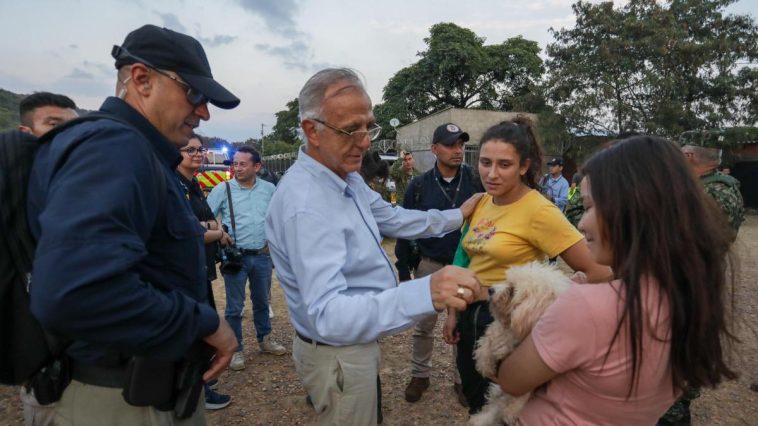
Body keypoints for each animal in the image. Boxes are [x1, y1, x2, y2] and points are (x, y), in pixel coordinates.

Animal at [470, 260, 568, 426]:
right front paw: (485, 366)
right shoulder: (495, 335)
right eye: (508, 281)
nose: (490, 290)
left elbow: (523, 393)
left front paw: (512, 411)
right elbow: (486, 346)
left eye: (512, 290)